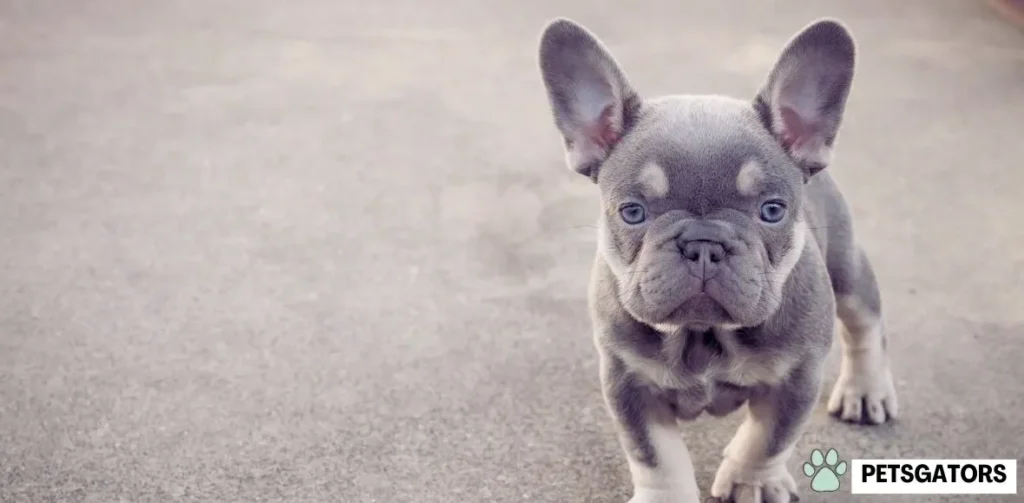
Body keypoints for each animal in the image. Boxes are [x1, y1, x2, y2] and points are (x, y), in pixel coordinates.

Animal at [536, 17, 897, 501]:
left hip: (845, 266)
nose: (703, 244)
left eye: (772, 210)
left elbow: (768, 439)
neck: (703, 334)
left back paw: (866, 389)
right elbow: (655, 456)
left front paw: (752, 482)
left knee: (865, 321)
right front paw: (666, 496)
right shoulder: (628, 383)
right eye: (632, 211)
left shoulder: (796, 379)